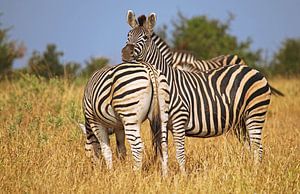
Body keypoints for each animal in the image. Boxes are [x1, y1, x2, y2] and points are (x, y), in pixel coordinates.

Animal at [122, 11, 272, 173]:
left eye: (145, 38)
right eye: (128, 35)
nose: (125, 53)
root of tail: (252, 69)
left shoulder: (179, 120)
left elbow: (180, 153)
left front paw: (183, 176)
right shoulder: (161, 123)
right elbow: (164, 152)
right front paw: (165, 176)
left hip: (255, 113)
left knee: (258, 147)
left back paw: (255, 172)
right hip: (240, 120)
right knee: (250, 146)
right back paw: (249, 169)